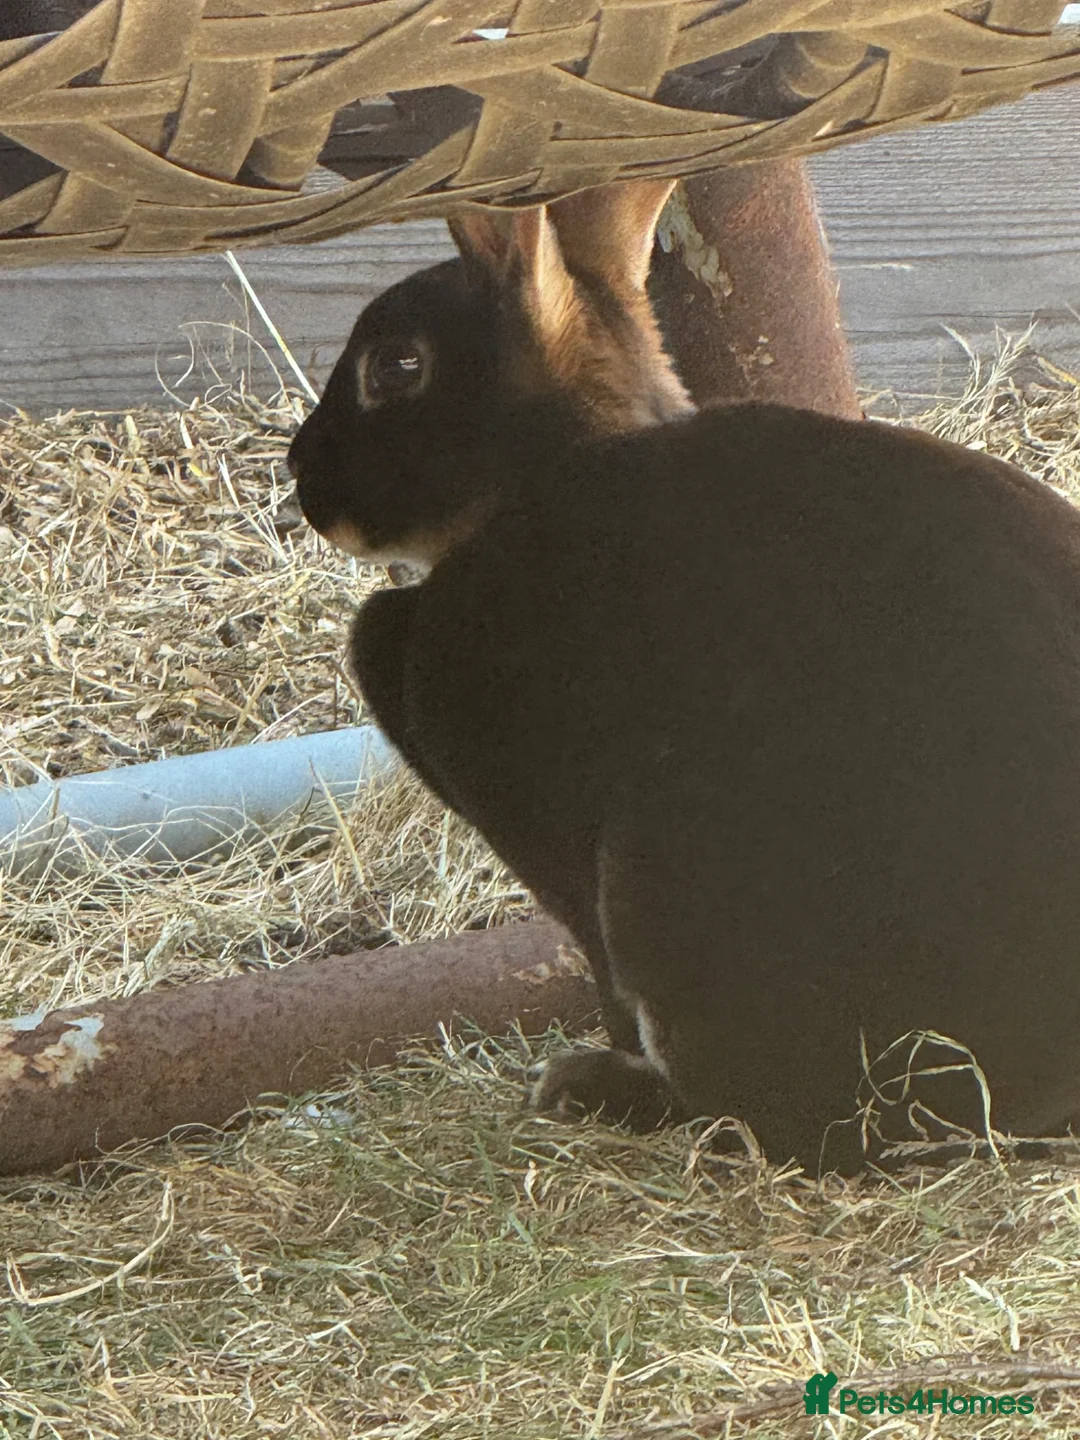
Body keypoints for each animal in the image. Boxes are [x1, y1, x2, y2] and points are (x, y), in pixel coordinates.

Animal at [289, 178, 1080, 1176]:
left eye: (397, 367)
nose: (302, 474)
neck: (544, 473)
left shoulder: (551, 841)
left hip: (672, 883)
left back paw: (602, 1089)